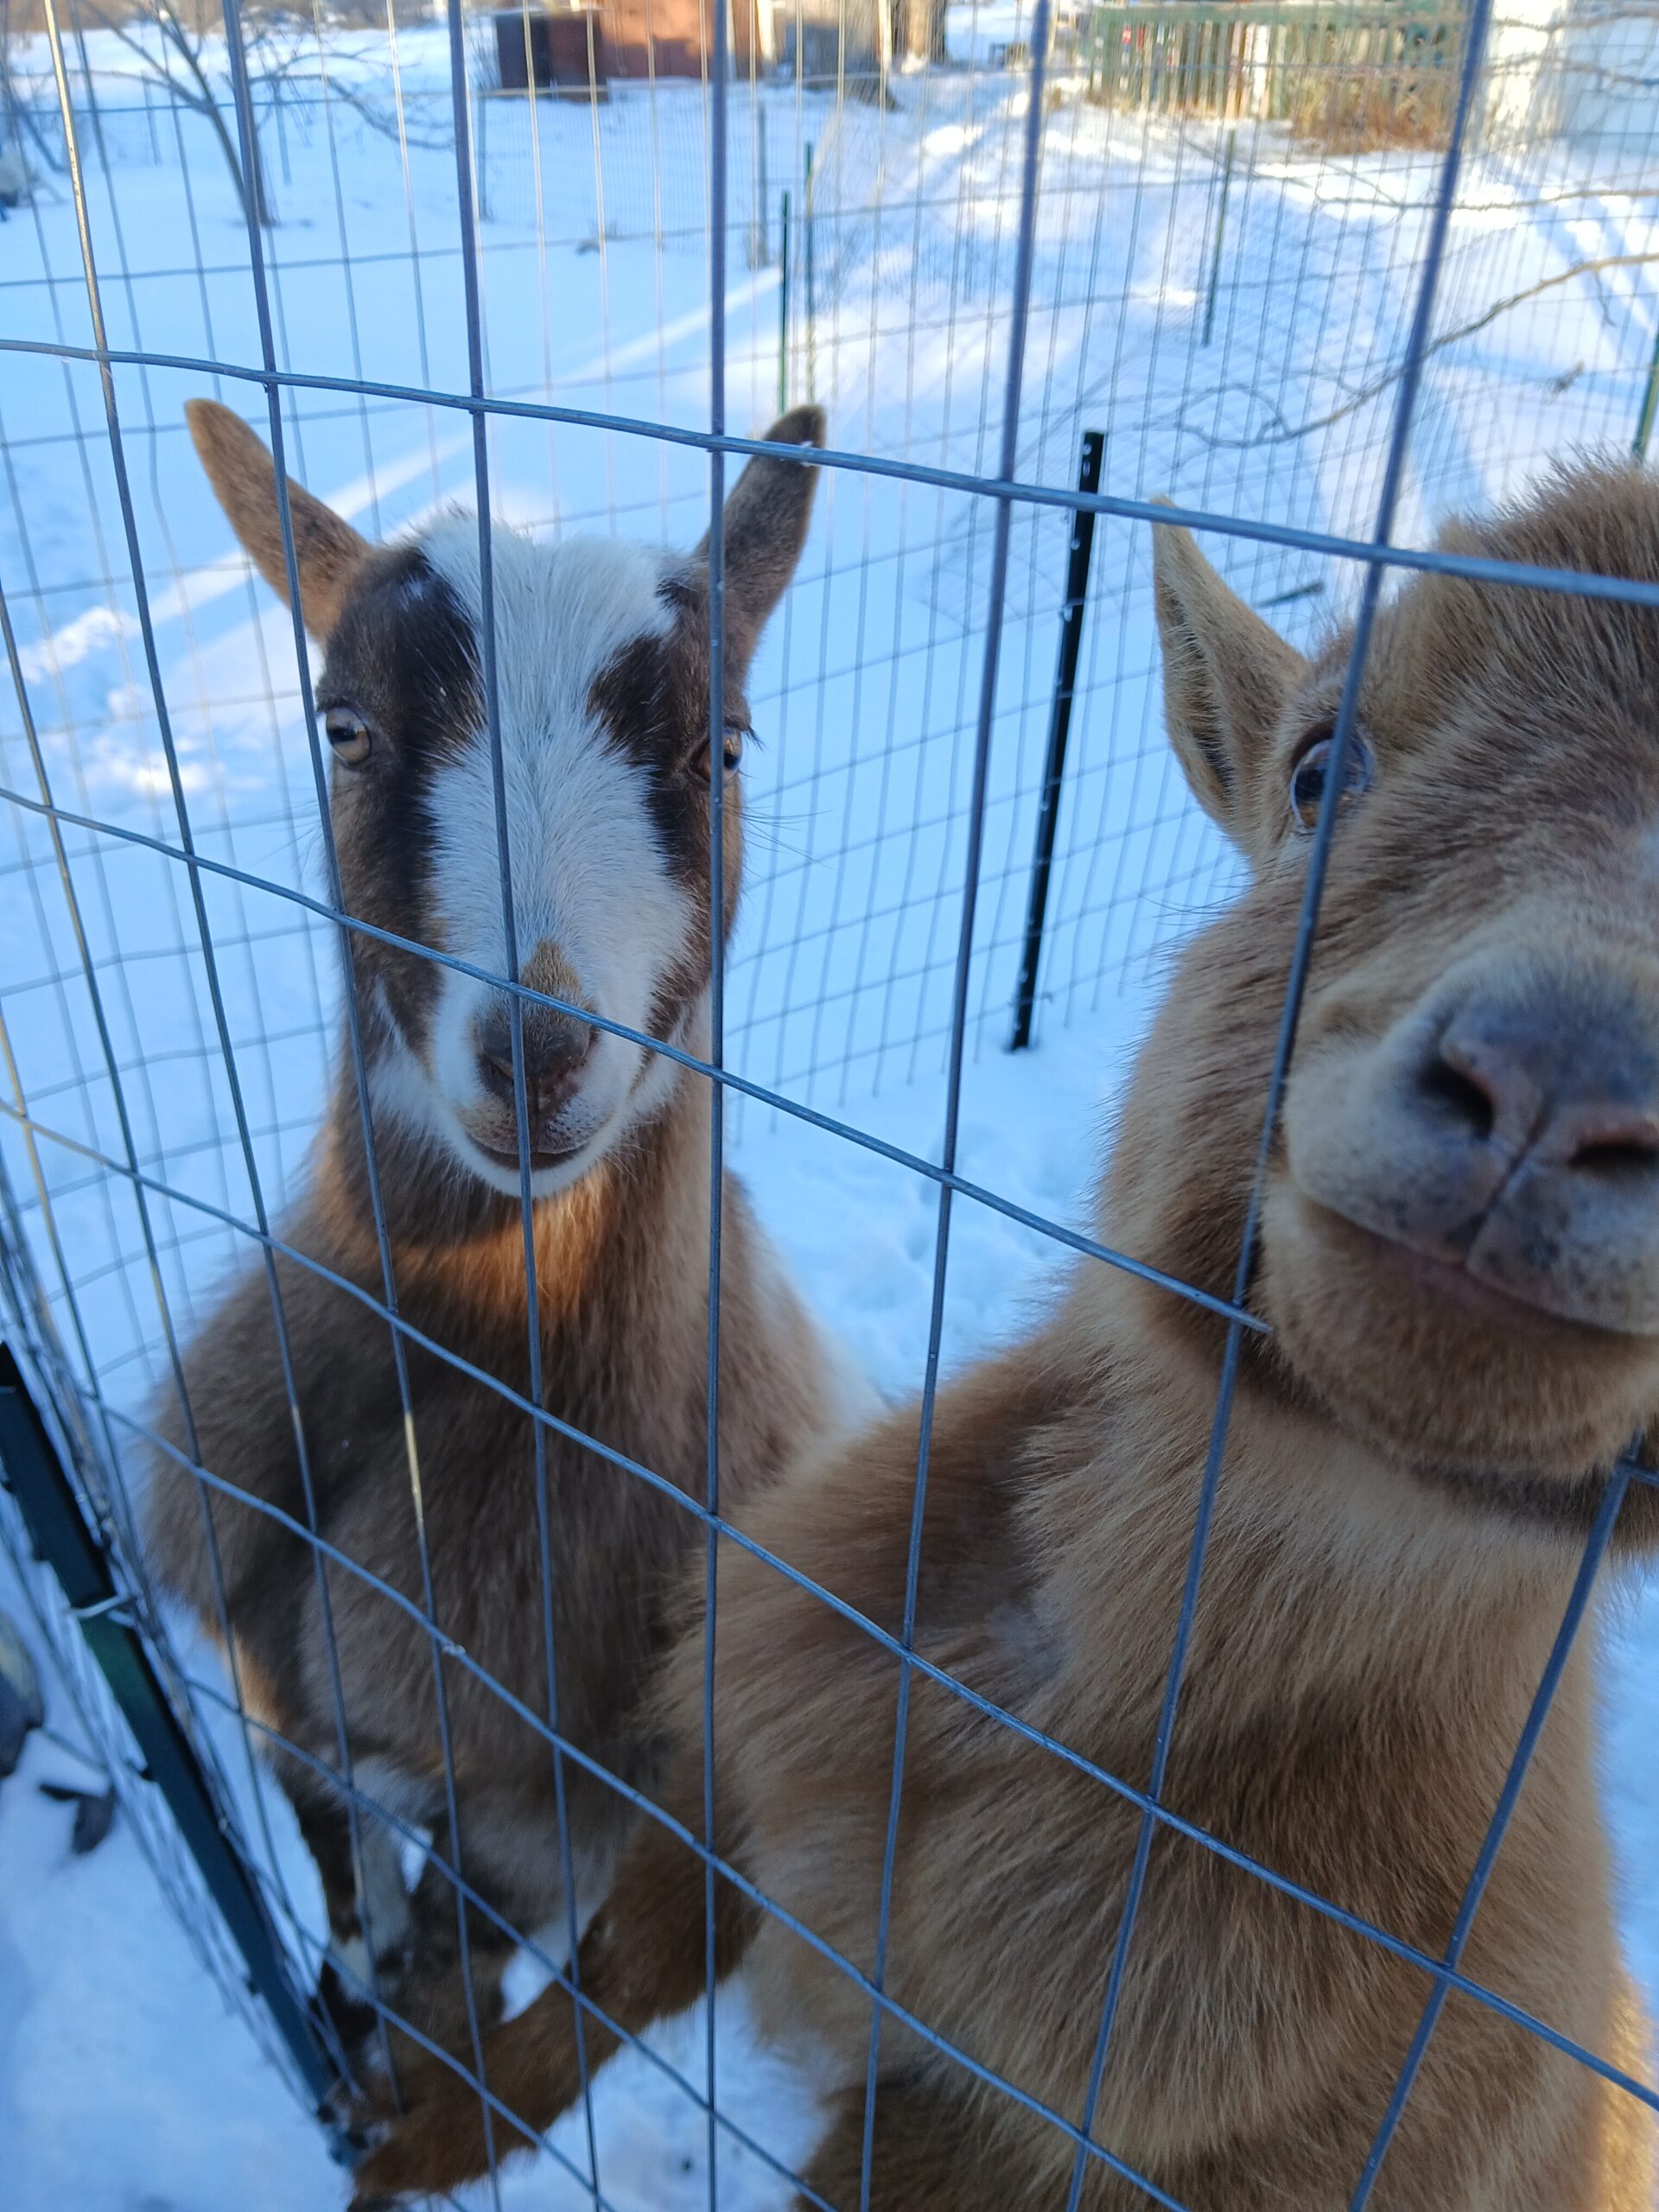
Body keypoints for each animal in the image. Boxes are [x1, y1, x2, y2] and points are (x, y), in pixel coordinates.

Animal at [141, 400, 867, 2067]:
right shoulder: (284, 1706)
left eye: (718, 746)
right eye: (344, 727)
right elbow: (344, 1871)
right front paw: (353, 1996)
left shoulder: (547, 1835)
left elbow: (470, 1987)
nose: (535, 1051)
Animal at [352, 462, 1659, 2209]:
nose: (1560, 1081)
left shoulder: (1003, 2131)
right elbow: (620, 1955)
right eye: (1323, 768)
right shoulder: (750, 1749)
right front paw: (425, 2124)